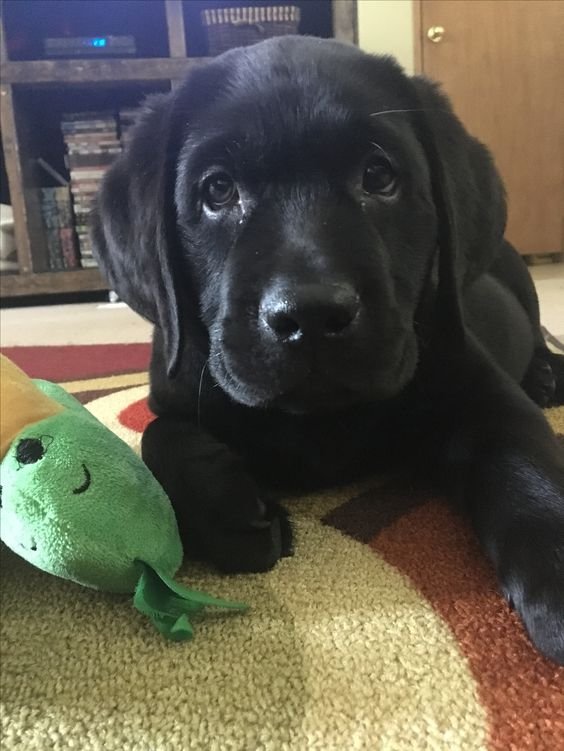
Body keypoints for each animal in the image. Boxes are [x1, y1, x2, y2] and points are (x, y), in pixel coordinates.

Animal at [90, 36, 560, 664]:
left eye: (378, 176)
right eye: (218, 190)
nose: (309, 315)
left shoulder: (481, 391)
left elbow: (527, 467)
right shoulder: (173, 392)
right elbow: (157, 438)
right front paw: (229, 508)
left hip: (516, 275)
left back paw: (549, 372)